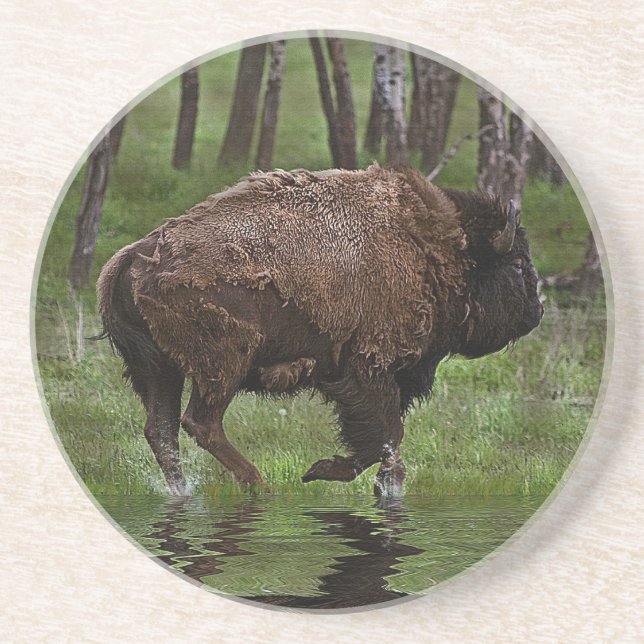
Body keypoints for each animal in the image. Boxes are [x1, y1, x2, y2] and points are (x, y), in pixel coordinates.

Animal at [98, 164, 543, 497]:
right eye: (518, 264)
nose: (536, 312)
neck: (432, 250)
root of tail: (134, 256)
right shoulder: (369, 368)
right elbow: (384, 434)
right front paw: (323, 472)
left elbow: (387, 440)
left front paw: (378, 484)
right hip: (222, 366)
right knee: (200, 423)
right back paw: (259, 484)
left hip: (159, 369)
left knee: (162, 430)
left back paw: (187, 492)